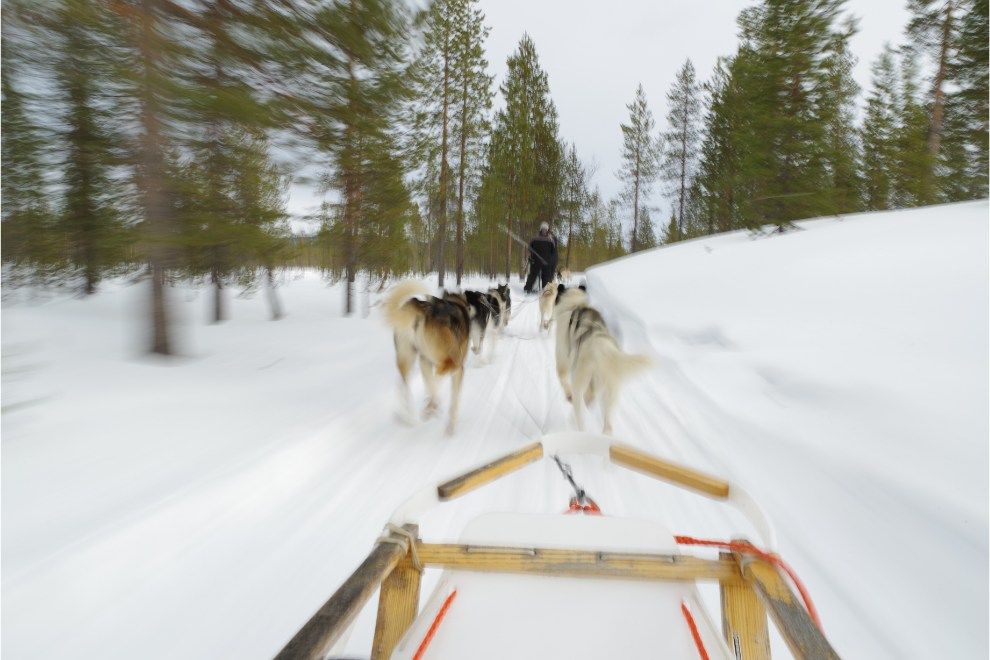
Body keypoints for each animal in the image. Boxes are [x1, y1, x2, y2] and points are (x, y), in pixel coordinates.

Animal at [384, 282, 472, 436]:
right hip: (449, 361)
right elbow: (454, 400)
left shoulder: (424, 361)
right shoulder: (459, 371)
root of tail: (425, 308)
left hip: (409, 358)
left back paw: (407, 415)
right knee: (439, 376)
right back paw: (430, 408)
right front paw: (451, 426)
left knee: (404, 385)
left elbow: (429, 384)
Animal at [556, 286, 656, 436]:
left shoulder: (562, 355)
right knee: (607, 424)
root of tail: (602, 347)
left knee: (580, 411)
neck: (576, 304)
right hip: (609, 392)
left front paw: (567, 394)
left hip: (580, 381)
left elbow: (562, 376)